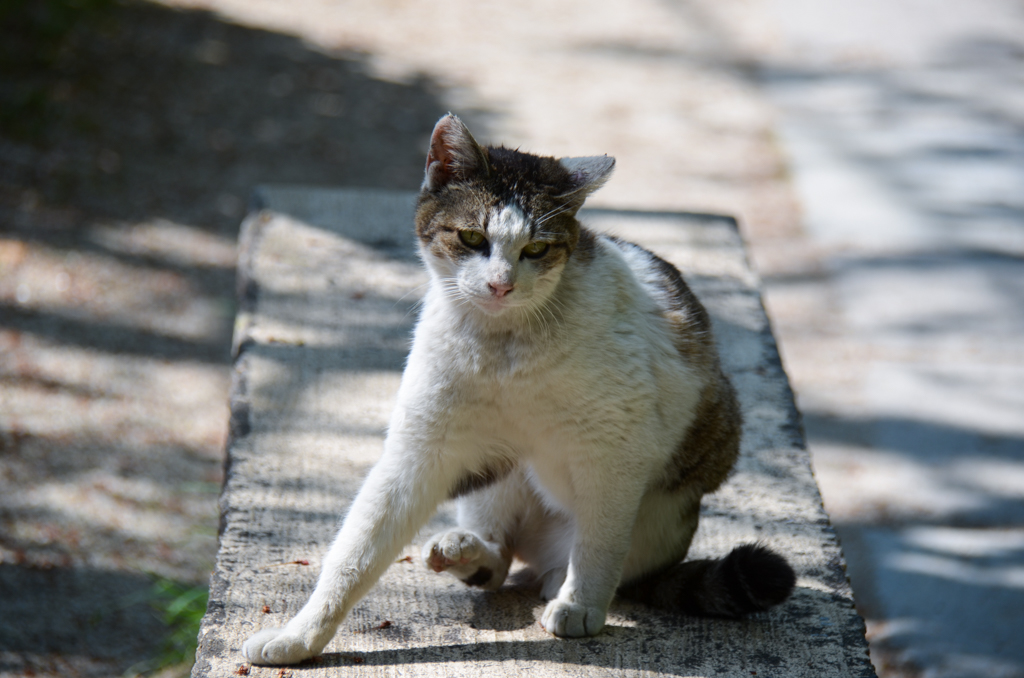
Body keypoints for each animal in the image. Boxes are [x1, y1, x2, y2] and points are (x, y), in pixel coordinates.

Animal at [243, 114, 794, 667]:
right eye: (471, 236)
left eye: (536, 249)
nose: (500, 284)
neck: (504, 347)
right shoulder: (418, 452)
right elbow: (354, 553)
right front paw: (300, 635)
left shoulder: (615, 455)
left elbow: (599, 545)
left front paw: (580, 604)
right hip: (494, 470)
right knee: (500, 561)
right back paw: (467, 551)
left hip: (656, 513)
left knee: (582, 555)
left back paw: (558, 584)